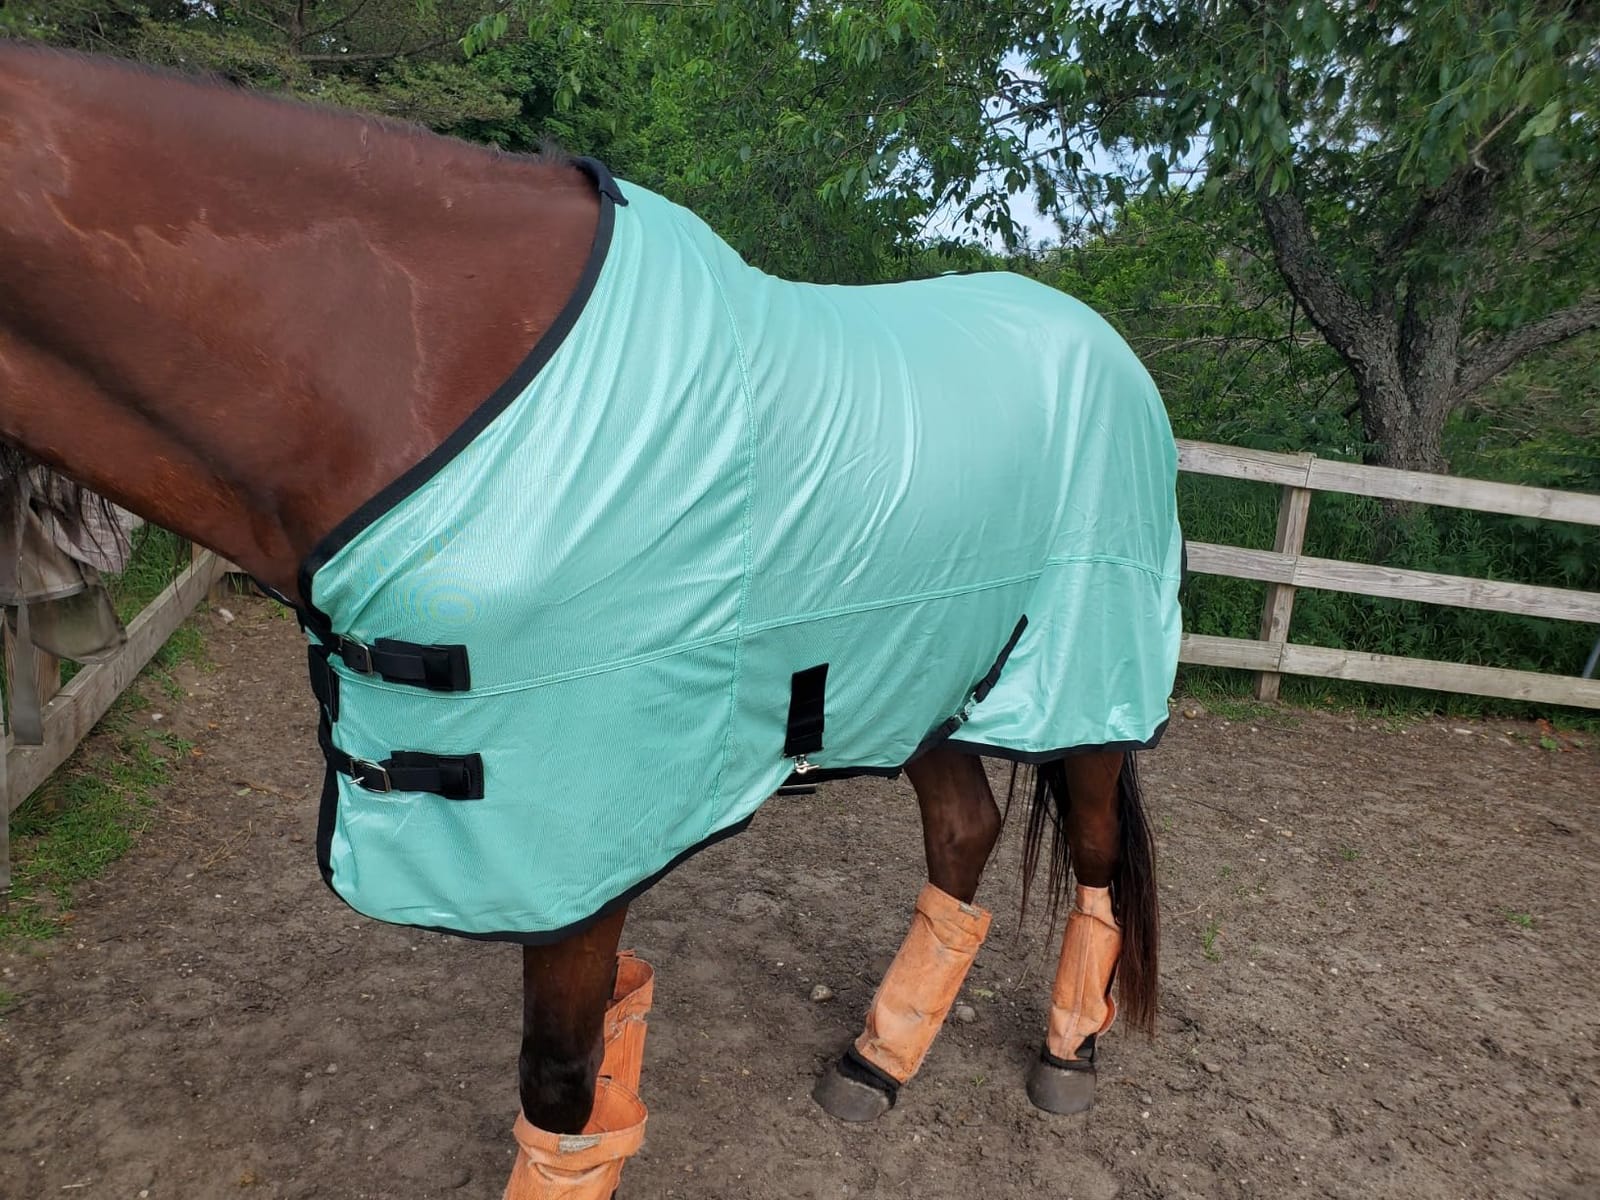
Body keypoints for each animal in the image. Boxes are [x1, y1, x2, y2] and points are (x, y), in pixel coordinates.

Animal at [0, 44, 1181, 1197]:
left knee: (1091, 854)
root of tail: (1112, 350)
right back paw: (871, 1064)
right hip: (922, 676)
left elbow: (560, 1087)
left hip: (1085, 683)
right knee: (963, 833)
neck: (411, 377)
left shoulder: (576, 848)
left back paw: (1067, 1055)